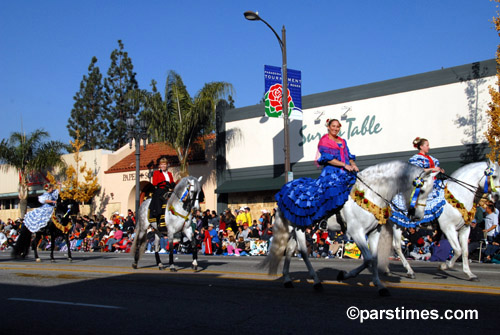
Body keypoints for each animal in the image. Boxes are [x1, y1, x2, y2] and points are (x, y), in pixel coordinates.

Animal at [262, 162, 438, 296]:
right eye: (422, 190)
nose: (418, 216)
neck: (370, 194)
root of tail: (285, 188)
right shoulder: (356, 232)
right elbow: (368, 259)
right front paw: (345, 275)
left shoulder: (374, 233)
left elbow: (373, 259)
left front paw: (380, 286)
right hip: (299, 227)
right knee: (304, 252)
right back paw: (316, 282)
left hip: (297, 227)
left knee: (289, 250)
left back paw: (287, 280)